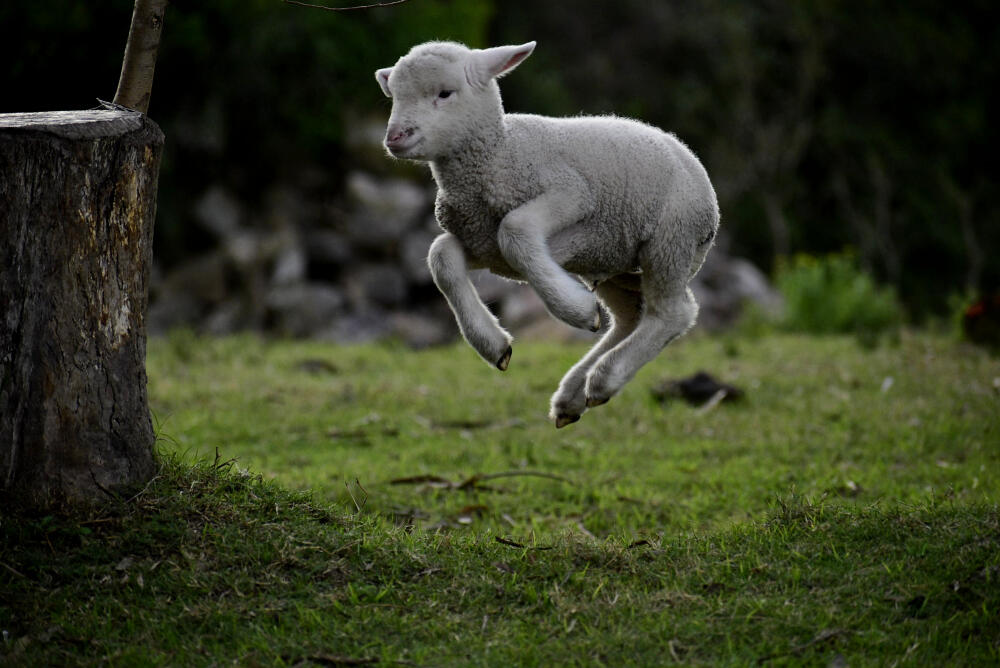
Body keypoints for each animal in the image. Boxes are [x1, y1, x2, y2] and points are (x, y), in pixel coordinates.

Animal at [376, 40, 720, 428]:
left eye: (445, 93)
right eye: (394, 95)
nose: (395, 138)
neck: (500, 153)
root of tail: (692, 161)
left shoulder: (570, 194)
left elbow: (515, 229)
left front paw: (577, 310)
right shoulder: (482, 243)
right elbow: (441, 256)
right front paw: (494, 346)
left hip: (670, 239)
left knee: (673, 313)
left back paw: (604, 379)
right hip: (613, 261)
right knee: (630, 317)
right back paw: (574, 394)